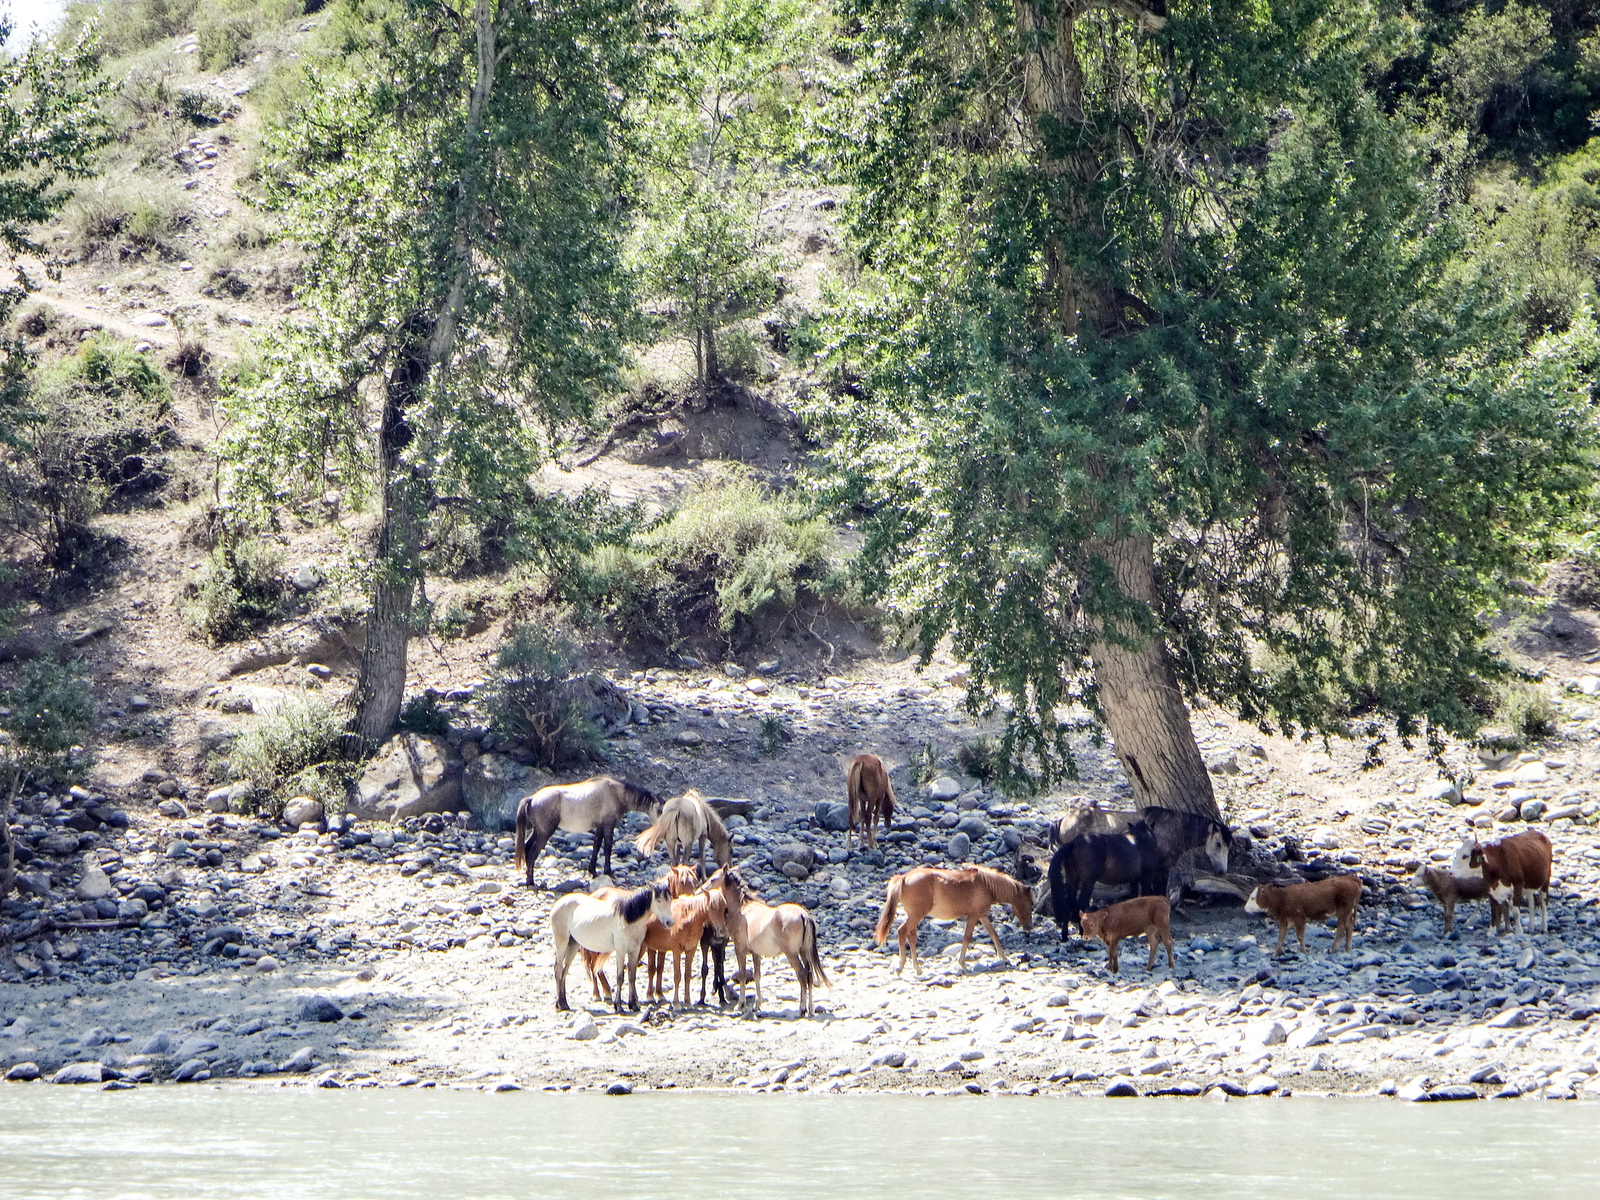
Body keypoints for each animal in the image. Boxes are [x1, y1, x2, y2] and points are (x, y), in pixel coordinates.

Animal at [515, 774, 659, 889]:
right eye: (659, 810)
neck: (616, 793)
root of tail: (532, 798)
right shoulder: (608, 824)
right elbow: (607, 847)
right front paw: (608, 871)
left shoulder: (600, 826)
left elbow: (596, 846)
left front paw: (593, 871)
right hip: (544, 833)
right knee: (532, 854)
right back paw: (531, 882)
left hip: (538, 831)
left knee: (527, 849)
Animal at [553, 876, 672, 1017]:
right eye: (658, 900)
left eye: (670, 899)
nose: (669, 923)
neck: (627, 918)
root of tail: (558, 903)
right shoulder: (620, 951)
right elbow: (620, 977)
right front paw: (619, 1007)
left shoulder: (634, 950)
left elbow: (632, 976)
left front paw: (633, 1005)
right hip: (561, 943)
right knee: (558, 970)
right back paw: (560, 1004)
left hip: (573, 944)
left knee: (564, 971)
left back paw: (564, 1003)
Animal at [876, 864, 1036, 979]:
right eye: (1030, 903)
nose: (1029, 927)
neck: (986, 885)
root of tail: (904, 877)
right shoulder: (973, 916)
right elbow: (967, 938)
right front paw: (962, 963)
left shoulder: (982, 916)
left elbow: (993, 934)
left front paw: (1004, 958)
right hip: (916, 915)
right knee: (902, 931)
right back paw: (901, 967)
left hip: (914, 916)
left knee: (911, 937)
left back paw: (917, 969)